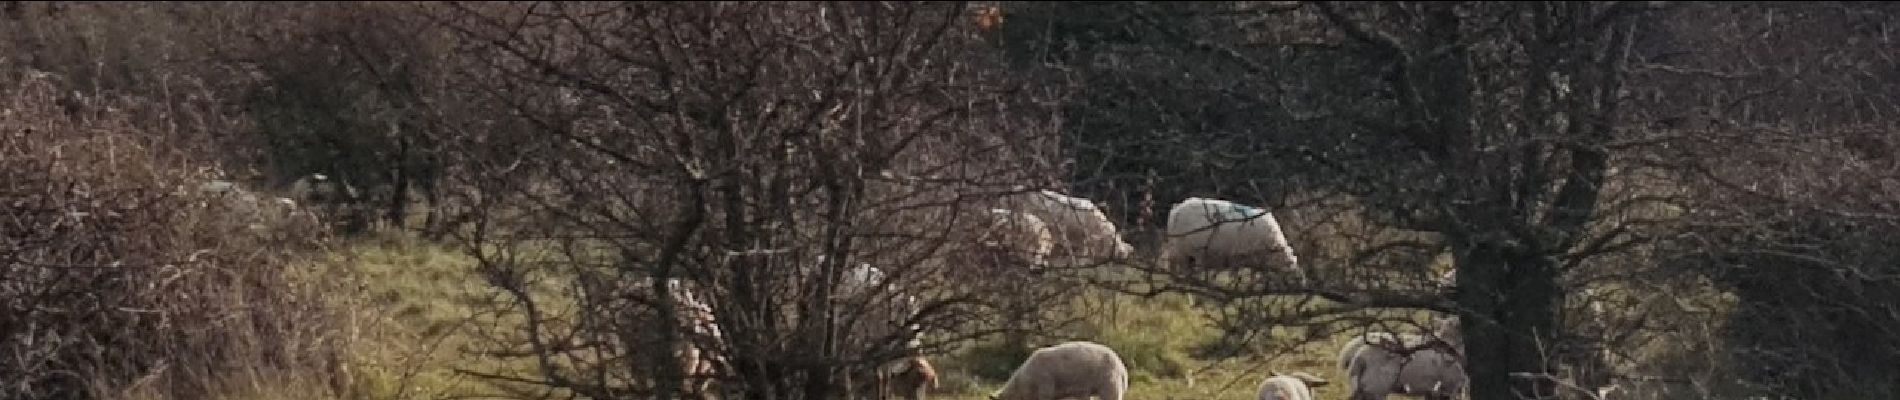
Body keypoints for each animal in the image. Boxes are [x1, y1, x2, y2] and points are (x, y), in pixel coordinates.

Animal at [1162, 198, 1299, 280]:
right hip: (1182, 248)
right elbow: (1235, 274)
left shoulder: (1255, 260)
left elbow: (1253, 274)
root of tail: (1177, 208)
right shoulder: (1238, 255)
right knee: (1178, 266)